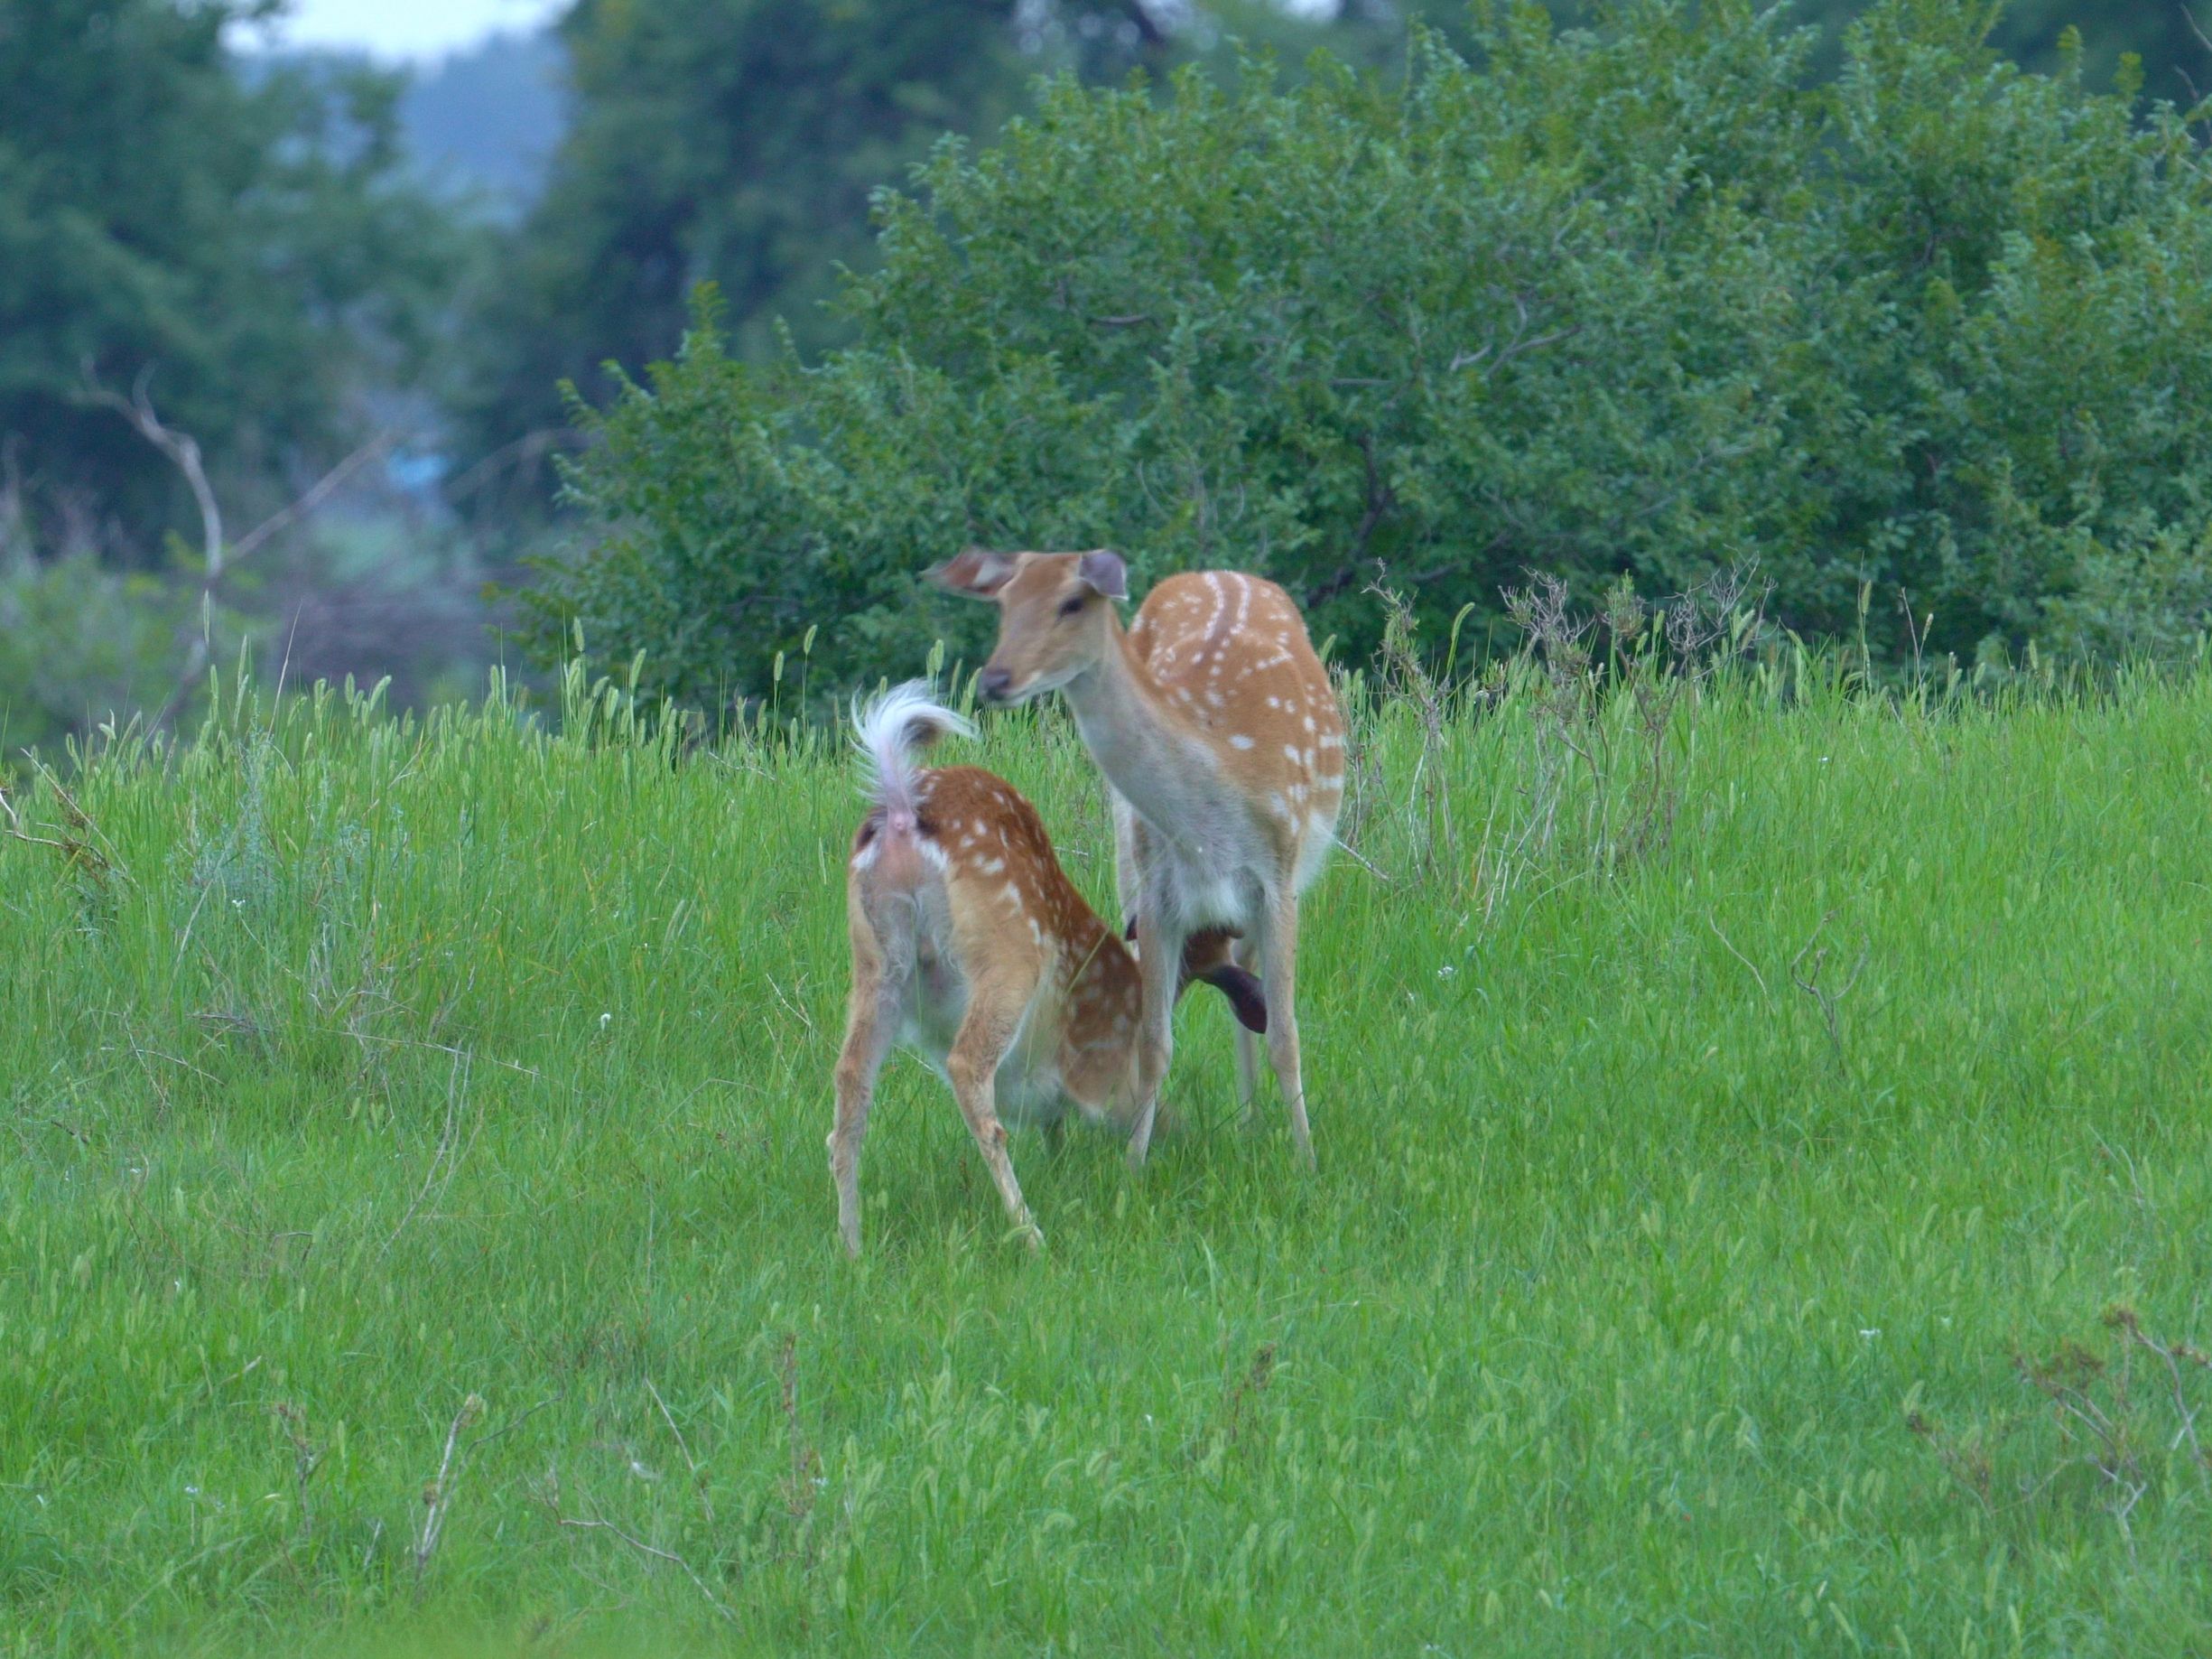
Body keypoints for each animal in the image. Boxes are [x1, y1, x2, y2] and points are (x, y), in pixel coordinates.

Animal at [832, 681, 1265, 1256]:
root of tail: (901, 811)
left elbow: (1055, 1131)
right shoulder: (1105, 1076)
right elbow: (1147, 1113)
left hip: (877, 963)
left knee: (850, 1080)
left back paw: (852, 1245)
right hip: (1010, 955)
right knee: (968, 1067)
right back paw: (1031, 1233)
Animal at [920, 553, 1335, 1177]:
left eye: (1072, 603)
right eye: (1004, 604)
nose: (994, 680)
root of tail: (1213, 573)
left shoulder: (1277, 880)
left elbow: (1285, 1036)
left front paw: (1307, 1162)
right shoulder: (1157, 896)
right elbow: (1155, 1039)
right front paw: (1134, 1169)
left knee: (1250, 993)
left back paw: (1252, 1120)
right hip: (1127, 861)